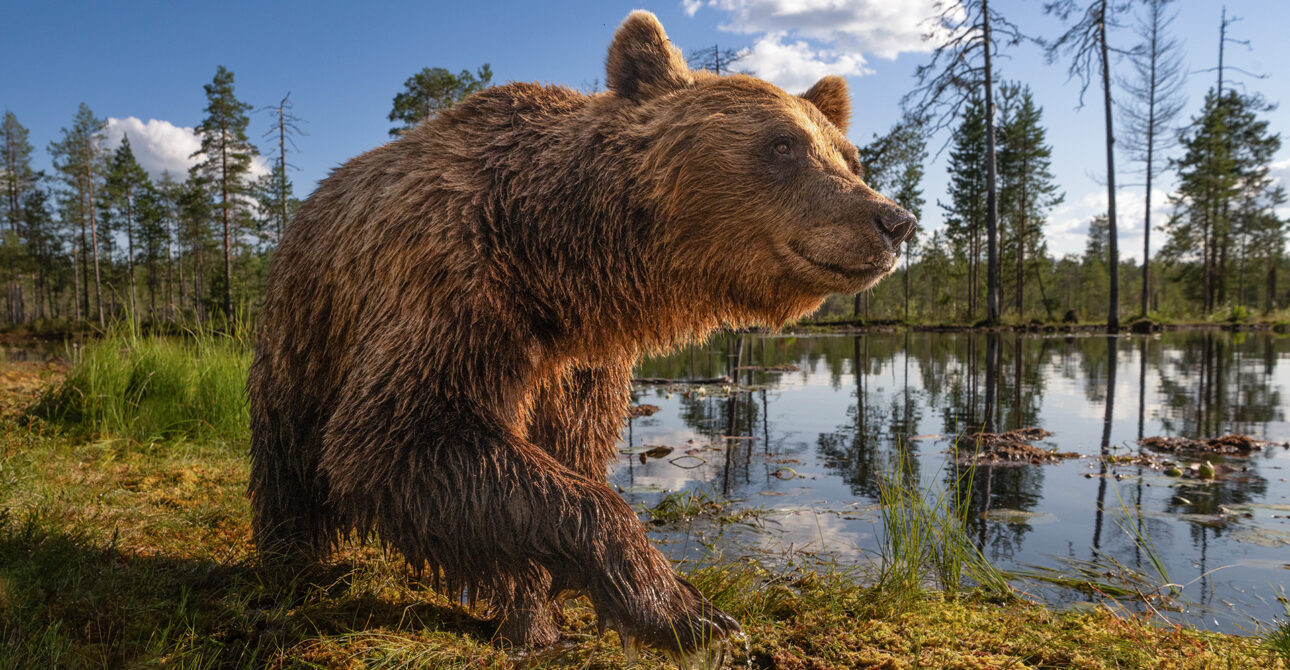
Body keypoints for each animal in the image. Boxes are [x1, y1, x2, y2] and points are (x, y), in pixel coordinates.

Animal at [247, 10, 916, 656]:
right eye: (783, 144)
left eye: (850, 157)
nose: (895, 221)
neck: (555, 263)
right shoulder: (452, 293)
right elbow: (399, 438)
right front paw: (686, 613)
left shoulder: (581, 361)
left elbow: (565, 457)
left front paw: (545, 608)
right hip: (304, 336)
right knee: (286, 464)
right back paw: (289, 566)